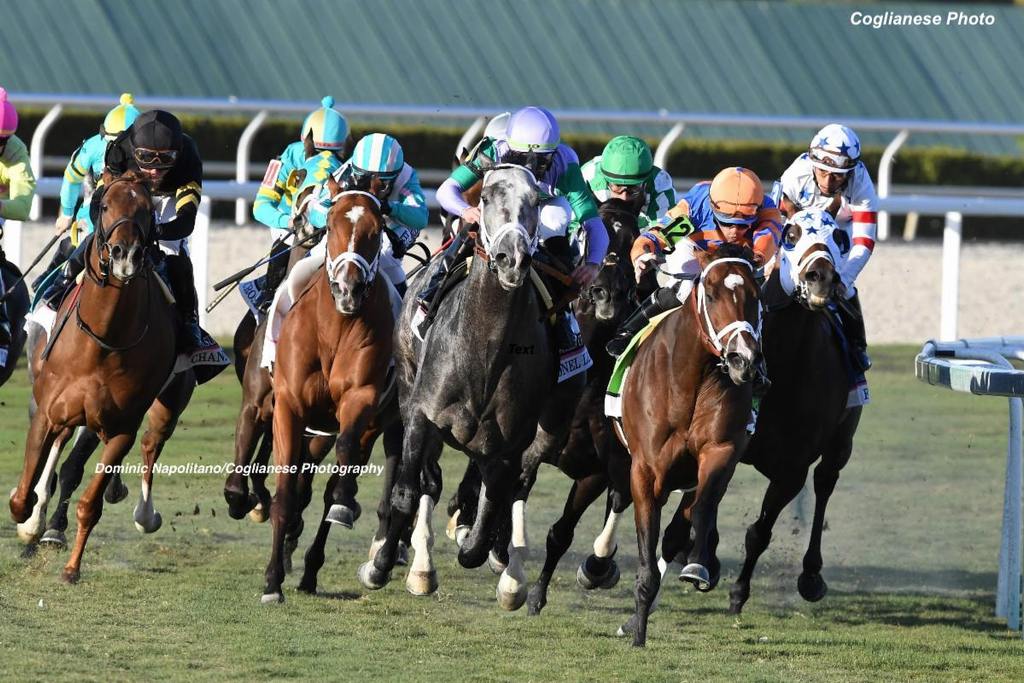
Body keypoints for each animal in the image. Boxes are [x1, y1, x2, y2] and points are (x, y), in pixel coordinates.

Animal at [9, 171, 188, 581]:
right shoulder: (46, 410)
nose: (126, 255)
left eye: (147, 209)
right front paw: (30, 523)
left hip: (169, 401)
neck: (104, 340)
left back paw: (142, 512)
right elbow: (24, 492)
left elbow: (89, 500)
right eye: (104, 205)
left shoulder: (120, 426)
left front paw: (71, 567)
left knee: (153, 442)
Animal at [260, 180, 399, 602]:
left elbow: (345, 454)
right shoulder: (289, 407)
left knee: (338, 478)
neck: (335, 328)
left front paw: (343, 502)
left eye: (377, 229)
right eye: (334, 222)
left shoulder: (362, 396)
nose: (348, 289)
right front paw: (272, 581)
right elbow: (286, 490)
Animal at [358, 165, 585, 610]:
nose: (512, 258)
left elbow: (489, 515)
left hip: (548, 425)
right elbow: (407, 492)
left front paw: (480, 550)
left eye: (536, 200)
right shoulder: (422, 415)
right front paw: (381, 566)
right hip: (409, 387)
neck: (484, 351)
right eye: (485, 198)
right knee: (428, 480)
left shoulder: (511, 443)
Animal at [614, 244, 761, 647]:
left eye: (756, 296)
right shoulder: (645, 473)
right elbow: (647, 552)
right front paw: (638, 632)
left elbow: (702, 509)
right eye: (710, 294)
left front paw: (698, 566)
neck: (688, 383)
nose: (743, 358)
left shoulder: (721, 452)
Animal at [729, 208, 864, 614]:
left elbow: (760, 532)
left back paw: (811, 575)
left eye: (839, 236)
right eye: (791, 233)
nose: (821, 277)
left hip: (840, 443)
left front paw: (738, 592)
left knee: (825, 482)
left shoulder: (792, 468)